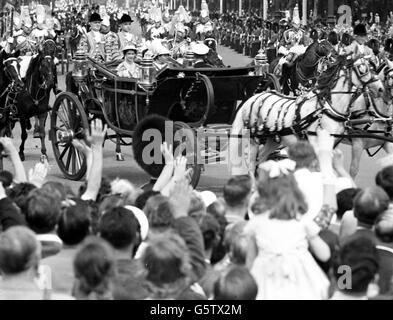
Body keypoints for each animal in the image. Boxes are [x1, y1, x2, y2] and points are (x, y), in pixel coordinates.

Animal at [228, 55, 384, 175]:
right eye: (362, 69)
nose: (380, 89)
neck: (327, 109)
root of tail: (254, 97)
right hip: (254, 139)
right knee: (251, 163)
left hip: (273, 140)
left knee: (260, 160)